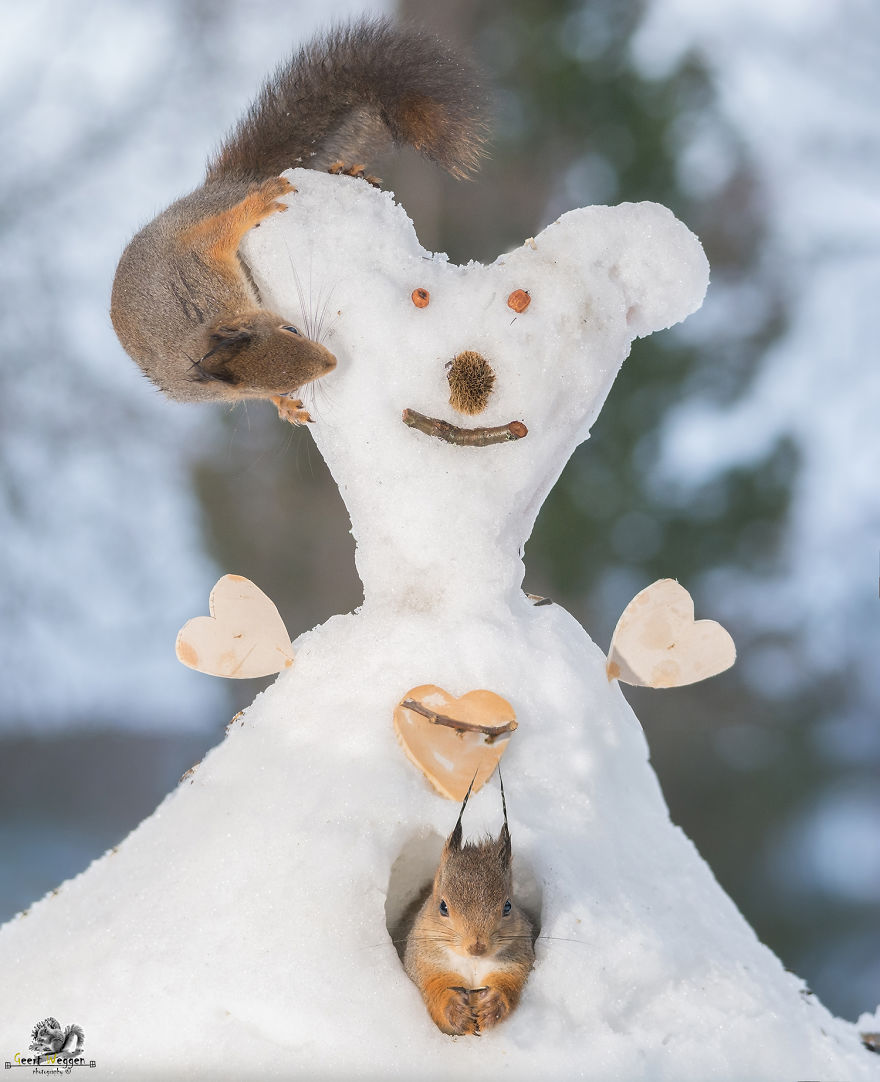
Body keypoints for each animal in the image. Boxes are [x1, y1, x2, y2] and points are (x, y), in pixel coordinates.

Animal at [110, 17, 487, 406]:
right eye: (284, 385)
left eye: (290, 328)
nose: (332, 362)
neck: (207, 331)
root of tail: (220, 185)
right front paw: (286, 407)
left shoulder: (199, 267)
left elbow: (220, 233)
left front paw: (257, 206)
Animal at [404, 776, 535, 1036]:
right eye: (443, 907)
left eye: (508, 906)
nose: (477, 947)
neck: (472, 963)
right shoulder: (424, 962)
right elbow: (436, 989)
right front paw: (456, 1013)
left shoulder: (518, 961)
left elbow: (508, 985)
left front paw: (491, 1008)